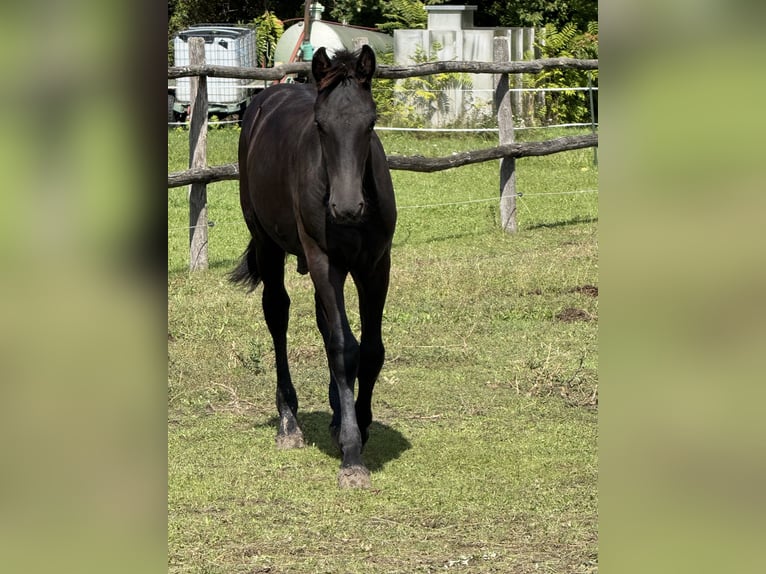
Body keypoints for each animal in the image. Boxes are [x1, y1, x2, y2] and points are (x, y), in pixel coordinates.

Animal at [230, 45, 397, 488]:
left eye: (370, 122)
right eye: (320, 125)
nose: (346, 208)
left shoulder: (376, 265)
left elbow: (370, 349)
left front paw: (359, 423)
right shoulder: (324, 260)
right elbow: (343, 348)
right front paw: (352, 457)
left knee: (325, 323)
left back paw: (338, 414)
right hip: (269, 244)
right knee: (278, 314)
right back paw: (289, 422)